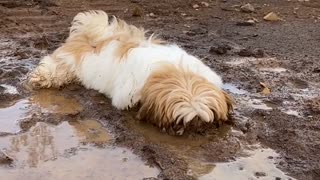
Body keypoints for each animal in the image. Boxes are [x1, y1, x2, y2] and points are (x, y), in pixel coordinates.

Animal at [28, 9, 234, 134]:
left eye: (203, 120)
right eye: (180, 121)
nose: (195, 130)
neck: (177, 72)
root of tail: (95, 34)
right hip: (67, 60)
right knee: (54, 67)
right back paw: (40, 78)